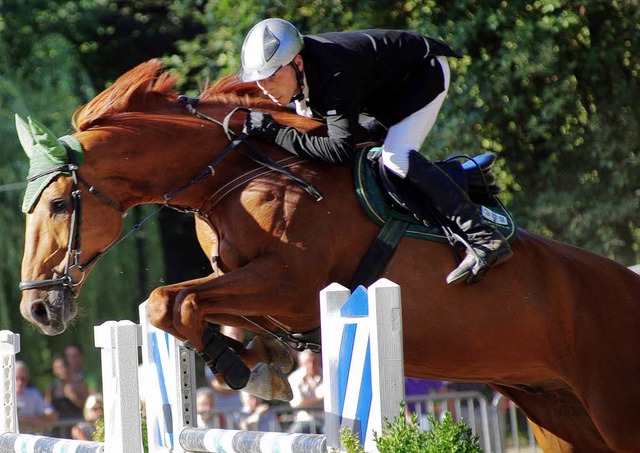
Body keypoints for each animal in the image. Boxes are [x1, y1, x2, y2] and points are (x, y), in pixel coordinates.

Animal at [17, 59, 636, 448]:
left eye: (57, 205)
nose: (36, 309)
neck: (235, 173)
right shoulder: (251, 285)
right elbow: (187, 305)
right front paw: (262, 365)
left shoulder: (292, 284)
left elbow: (167, 301)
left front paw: (244, 371)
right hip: (559, 416)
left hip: (613, 411)